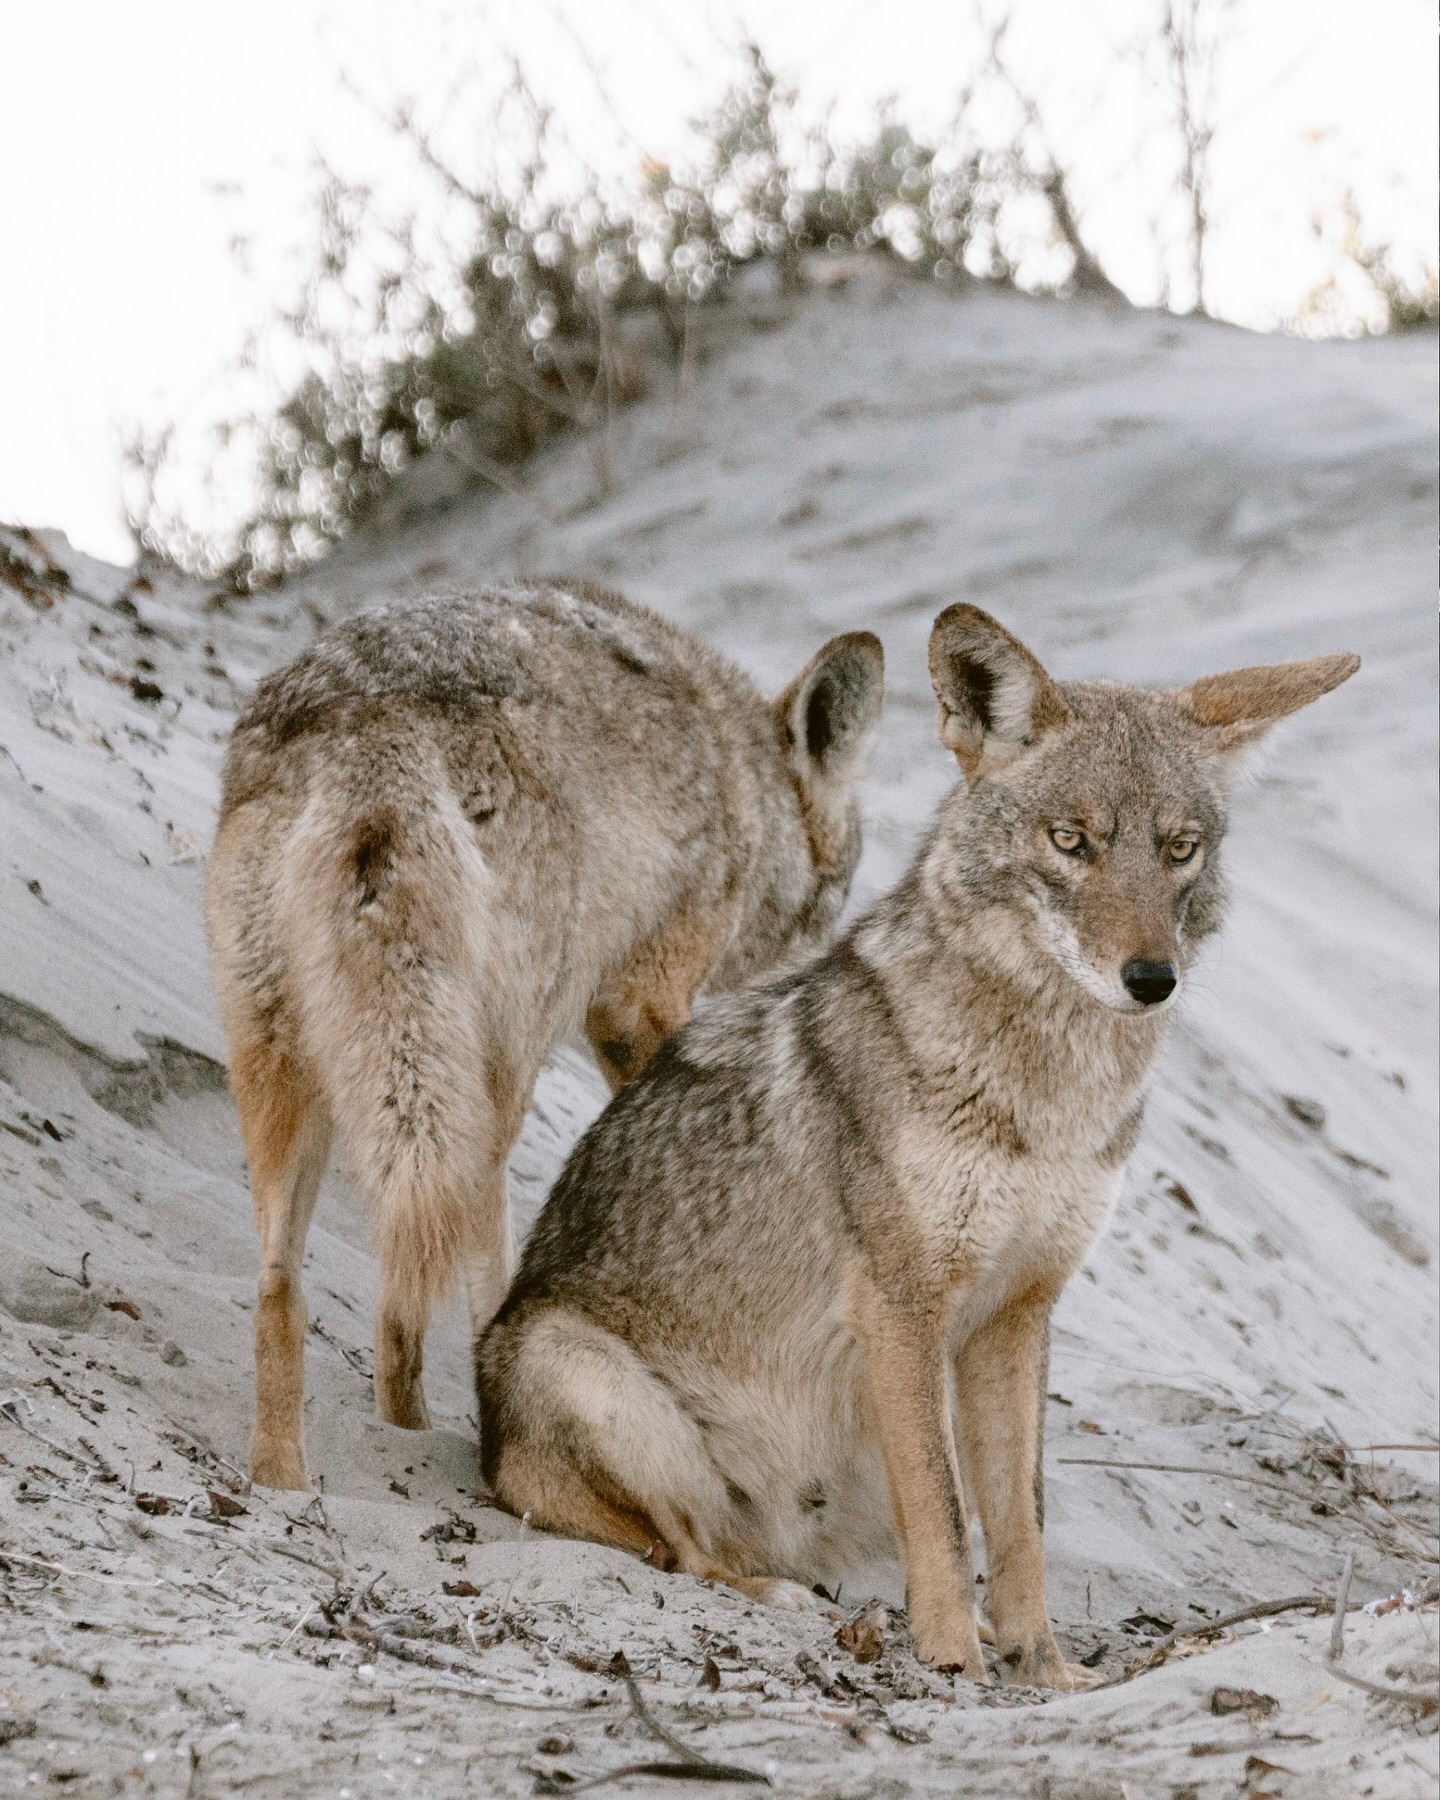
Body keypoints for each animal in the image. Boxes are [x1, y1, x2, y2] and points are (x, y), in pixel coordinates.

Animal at [207, 578, 884, 1491]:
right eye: (846, 883)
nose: (834, 948)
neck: (746, 783)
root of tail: (369, 715)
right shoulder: (635, 1003)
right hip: (490, 1079)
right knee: (451, 1271)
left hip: (301, 1077)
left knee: (293, 1287)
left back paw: (293, 1466)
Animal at [477, 603, 1358, 1687]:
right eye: (1071, 841)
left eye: (1179, 849)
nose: (1151, 979)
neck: (1046, 1098)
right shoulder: (901, 1310)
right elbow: (942, 1512)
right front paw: (953, 1663)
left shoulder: (1016, 1319)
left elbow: (1017, 1523)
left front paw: (1044, 1668)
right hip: (586, 1376)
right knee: (686, 1553)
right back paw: (784, 1604)